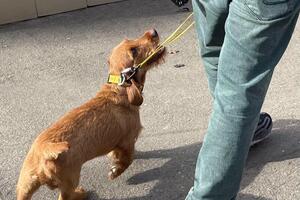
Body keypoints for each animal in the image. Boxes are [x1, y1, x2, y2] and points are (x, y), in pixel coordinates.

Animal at [15, 28, 166, 200]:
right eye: (133, 51)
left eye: (129, 40)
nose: (153, 31)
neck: (118, 90)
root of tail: (45, 153)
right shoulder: (127, 141)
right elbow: (128, 160)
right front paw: (115, 171)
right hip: (71, 179)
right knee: (64, 197)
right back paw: (80, 193)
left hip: (25, 183)